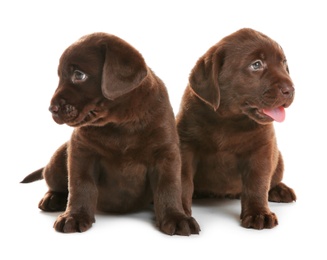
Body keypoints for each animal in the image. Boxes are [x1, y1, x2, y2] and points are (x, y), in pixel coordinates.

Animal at [21, 33, 200, 236]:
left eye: (79, 75)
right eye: (59, 76)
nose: (52, 108)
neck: (120, 124)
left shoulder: (165, 154)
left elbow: (169, 186)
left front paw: (177, 217)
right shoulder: (82, 152)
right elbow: (80, 186)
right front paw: (74, 216)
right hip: (58, 161)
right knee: (54, 182)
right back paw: (52, 198)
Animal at [177, 28, 298, 230]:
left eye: (284, 63)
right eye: (256, 65)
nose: (291, 89)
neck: (229, 120)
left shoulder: (261, 149)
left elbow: (257, 183)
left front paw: (259, 213)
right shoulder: (186, 145)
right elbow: (183, 180)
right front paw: (181, 212)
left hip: (279, 159)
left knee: (272, 180)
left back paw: (280, 190)